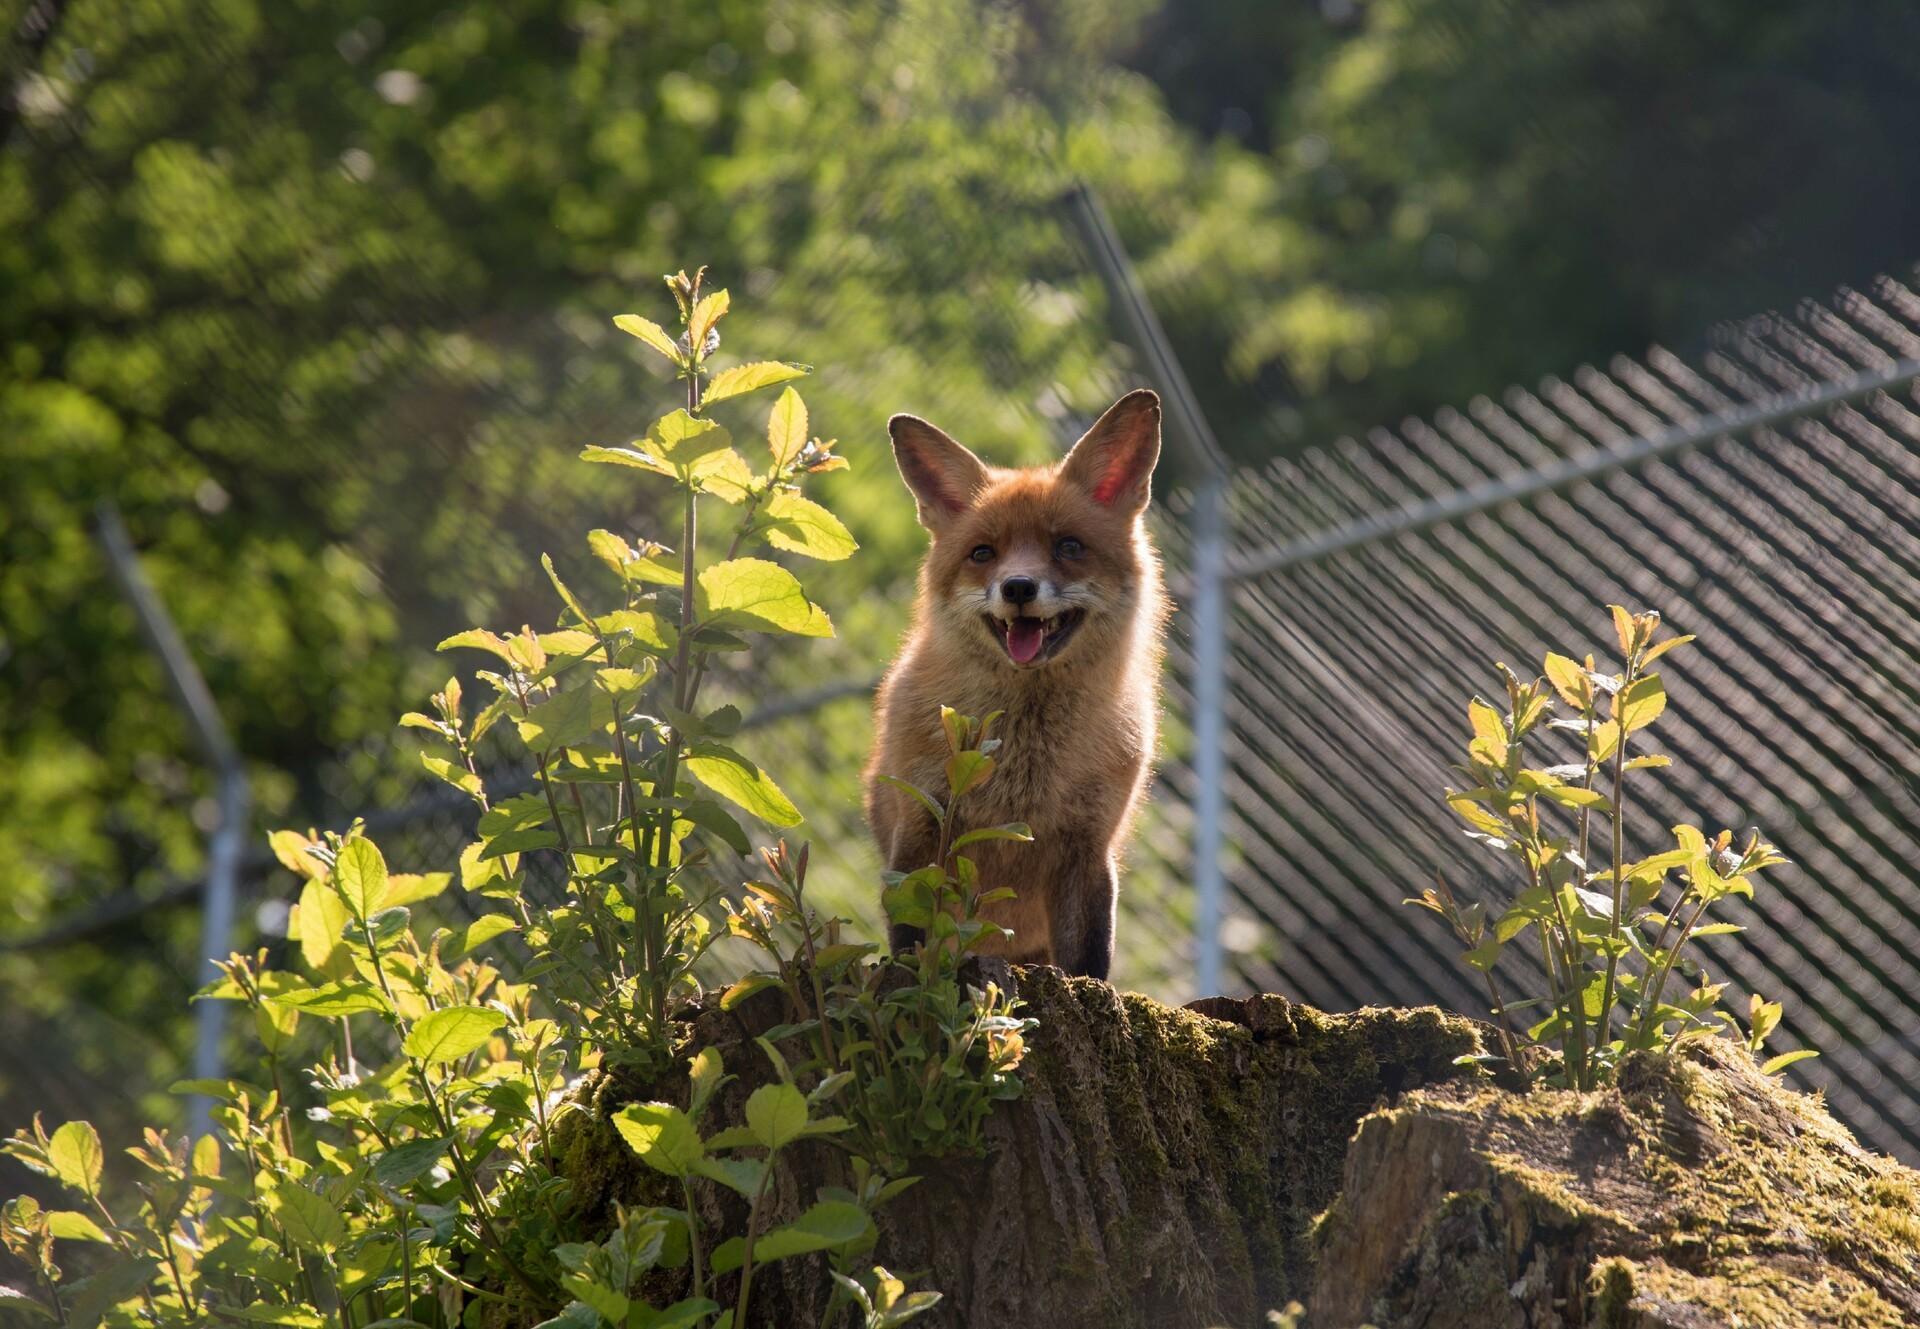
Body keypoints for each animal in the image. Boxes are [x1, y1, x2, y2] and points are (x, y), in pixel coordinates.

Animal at [862, 389, 1167, 980]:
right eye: (983, 553)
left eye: (1068, 546)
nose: (1019, 587)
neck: (1024, 775)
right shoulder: (920, 829)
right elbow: (911, 943)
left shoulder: (1088, 848)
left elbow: (1089, 965)